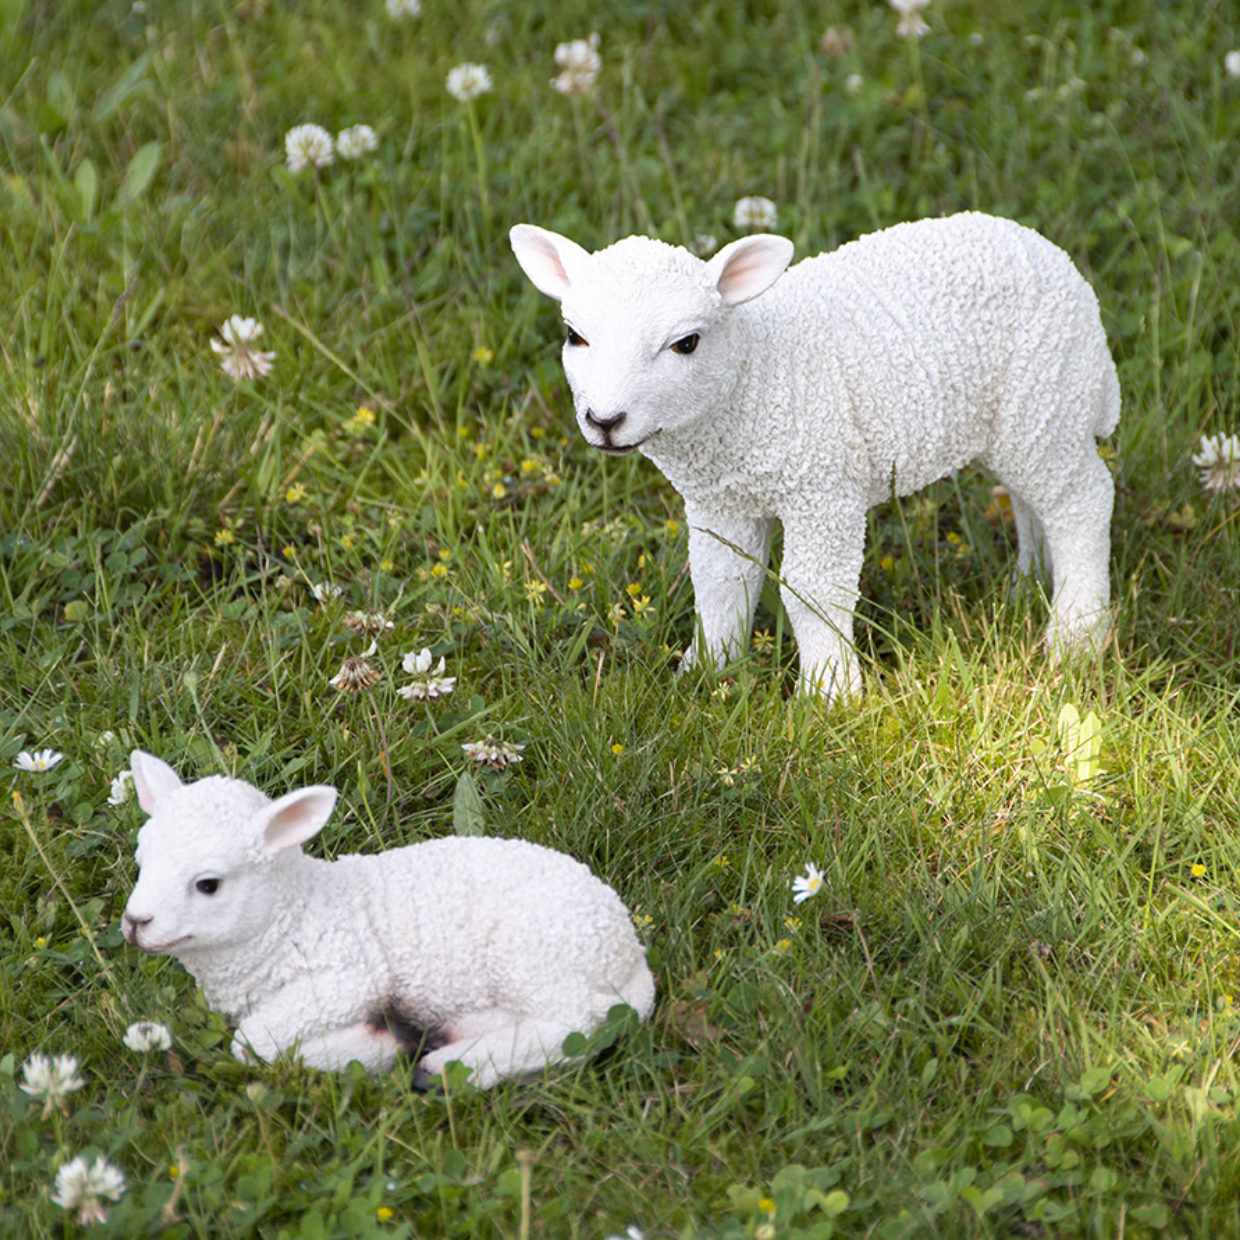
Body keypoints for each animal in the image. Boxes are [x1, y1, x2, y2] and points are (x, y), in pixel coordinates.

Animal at [120, 751, 655, 1088]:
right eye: (141, 860)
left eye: (208, 885)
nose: (135, 922)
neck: (290, 915)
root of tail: (629, 951)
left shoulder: (346, 977)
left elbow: (251, 1044)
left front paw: (371, 1048)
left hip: (536, 954)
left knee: (580, 1024)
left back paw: (446, 1065)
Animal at [510, 212, 1120, 702]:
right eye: (574, 336)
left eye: (686, 343)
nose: (604, 421)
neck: (752, 375)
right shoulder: (720, 502)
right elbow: (719, 583)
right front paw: (706, 672)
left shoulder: (822, 491)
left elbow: (811, 589)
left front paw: (829, 694)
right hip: (1024, 421)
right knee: (1031, 498)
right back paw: (1028, 587)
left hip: (1048, 390)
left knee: (1083, 501)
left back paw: (1076, 634)